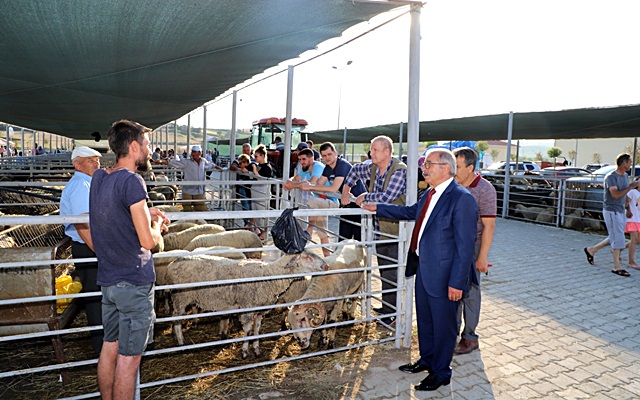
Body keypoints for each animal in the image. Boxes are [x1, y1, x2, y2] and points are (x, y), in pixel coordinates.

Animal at [168, 252, 328, 358]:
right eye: (307, 257)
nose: (325, 266)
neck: (269, 276)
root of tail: (173, 262)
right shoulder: (248, 308)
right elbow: (247, 330)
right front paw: (245, 351)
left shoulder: (259, 310)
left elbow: (256, 330)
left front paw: (256, 349)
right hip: (181, 297)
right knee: (176, 319)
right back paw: (182, 344)